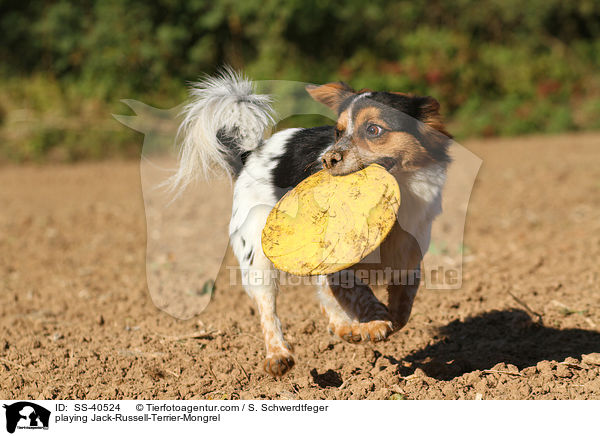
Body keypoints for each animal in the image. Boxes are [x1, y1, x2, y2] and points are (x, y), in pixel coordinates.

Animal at [169, 67, 450, 374]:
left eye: (373, 129)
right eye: (338, 132)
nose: (327, 159)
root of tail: (249, 156)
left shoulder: (408, 260)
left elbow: (402, 310)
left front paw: (372, 324)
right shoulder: (336, 260)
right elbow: (357, 293)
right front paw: (374, 322)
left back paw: (344, 329)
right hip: (257, 257)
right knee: (267, 308)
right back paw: (278, 355)